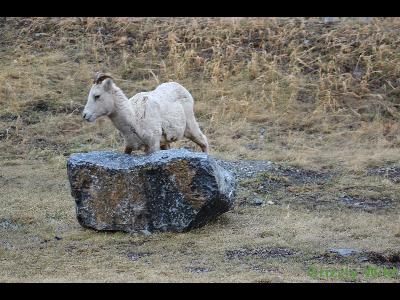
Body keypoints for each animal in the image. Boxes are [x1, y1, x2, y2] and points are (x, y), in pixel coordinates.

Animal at [83, 72, 211, 155]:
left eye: (97, 96)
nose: (85, 115)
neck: (134, 119)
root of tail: (182, 88)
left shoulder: (153, 146)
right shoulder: (129, 146)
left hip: (190, 127)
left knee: (204, 141)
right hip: (166, 142)